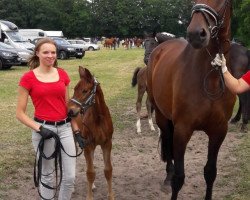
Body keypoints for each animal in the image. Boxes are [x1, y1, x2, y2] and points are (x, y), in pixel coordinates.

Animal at [67, 67, 114, 200]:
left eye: (85, 91)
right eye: (74, 89)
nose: (70, 111)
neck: (99, 118)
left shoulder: (107, 144)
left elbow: (108, 170)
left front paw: (111, 196)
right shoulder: (87, 145)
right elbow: (90, 172)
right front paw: (89, 197)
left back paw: (92, 186)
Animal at [147, 0, 233, 199]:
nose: (195, 34)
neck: (210, 78)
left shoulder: (219, 132)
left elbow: (210, 172)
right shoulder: (183, 129)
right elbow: (179, 178)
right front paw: (172, 179)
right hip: (162, 117)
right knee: (168, 141)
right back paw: (167, 177)